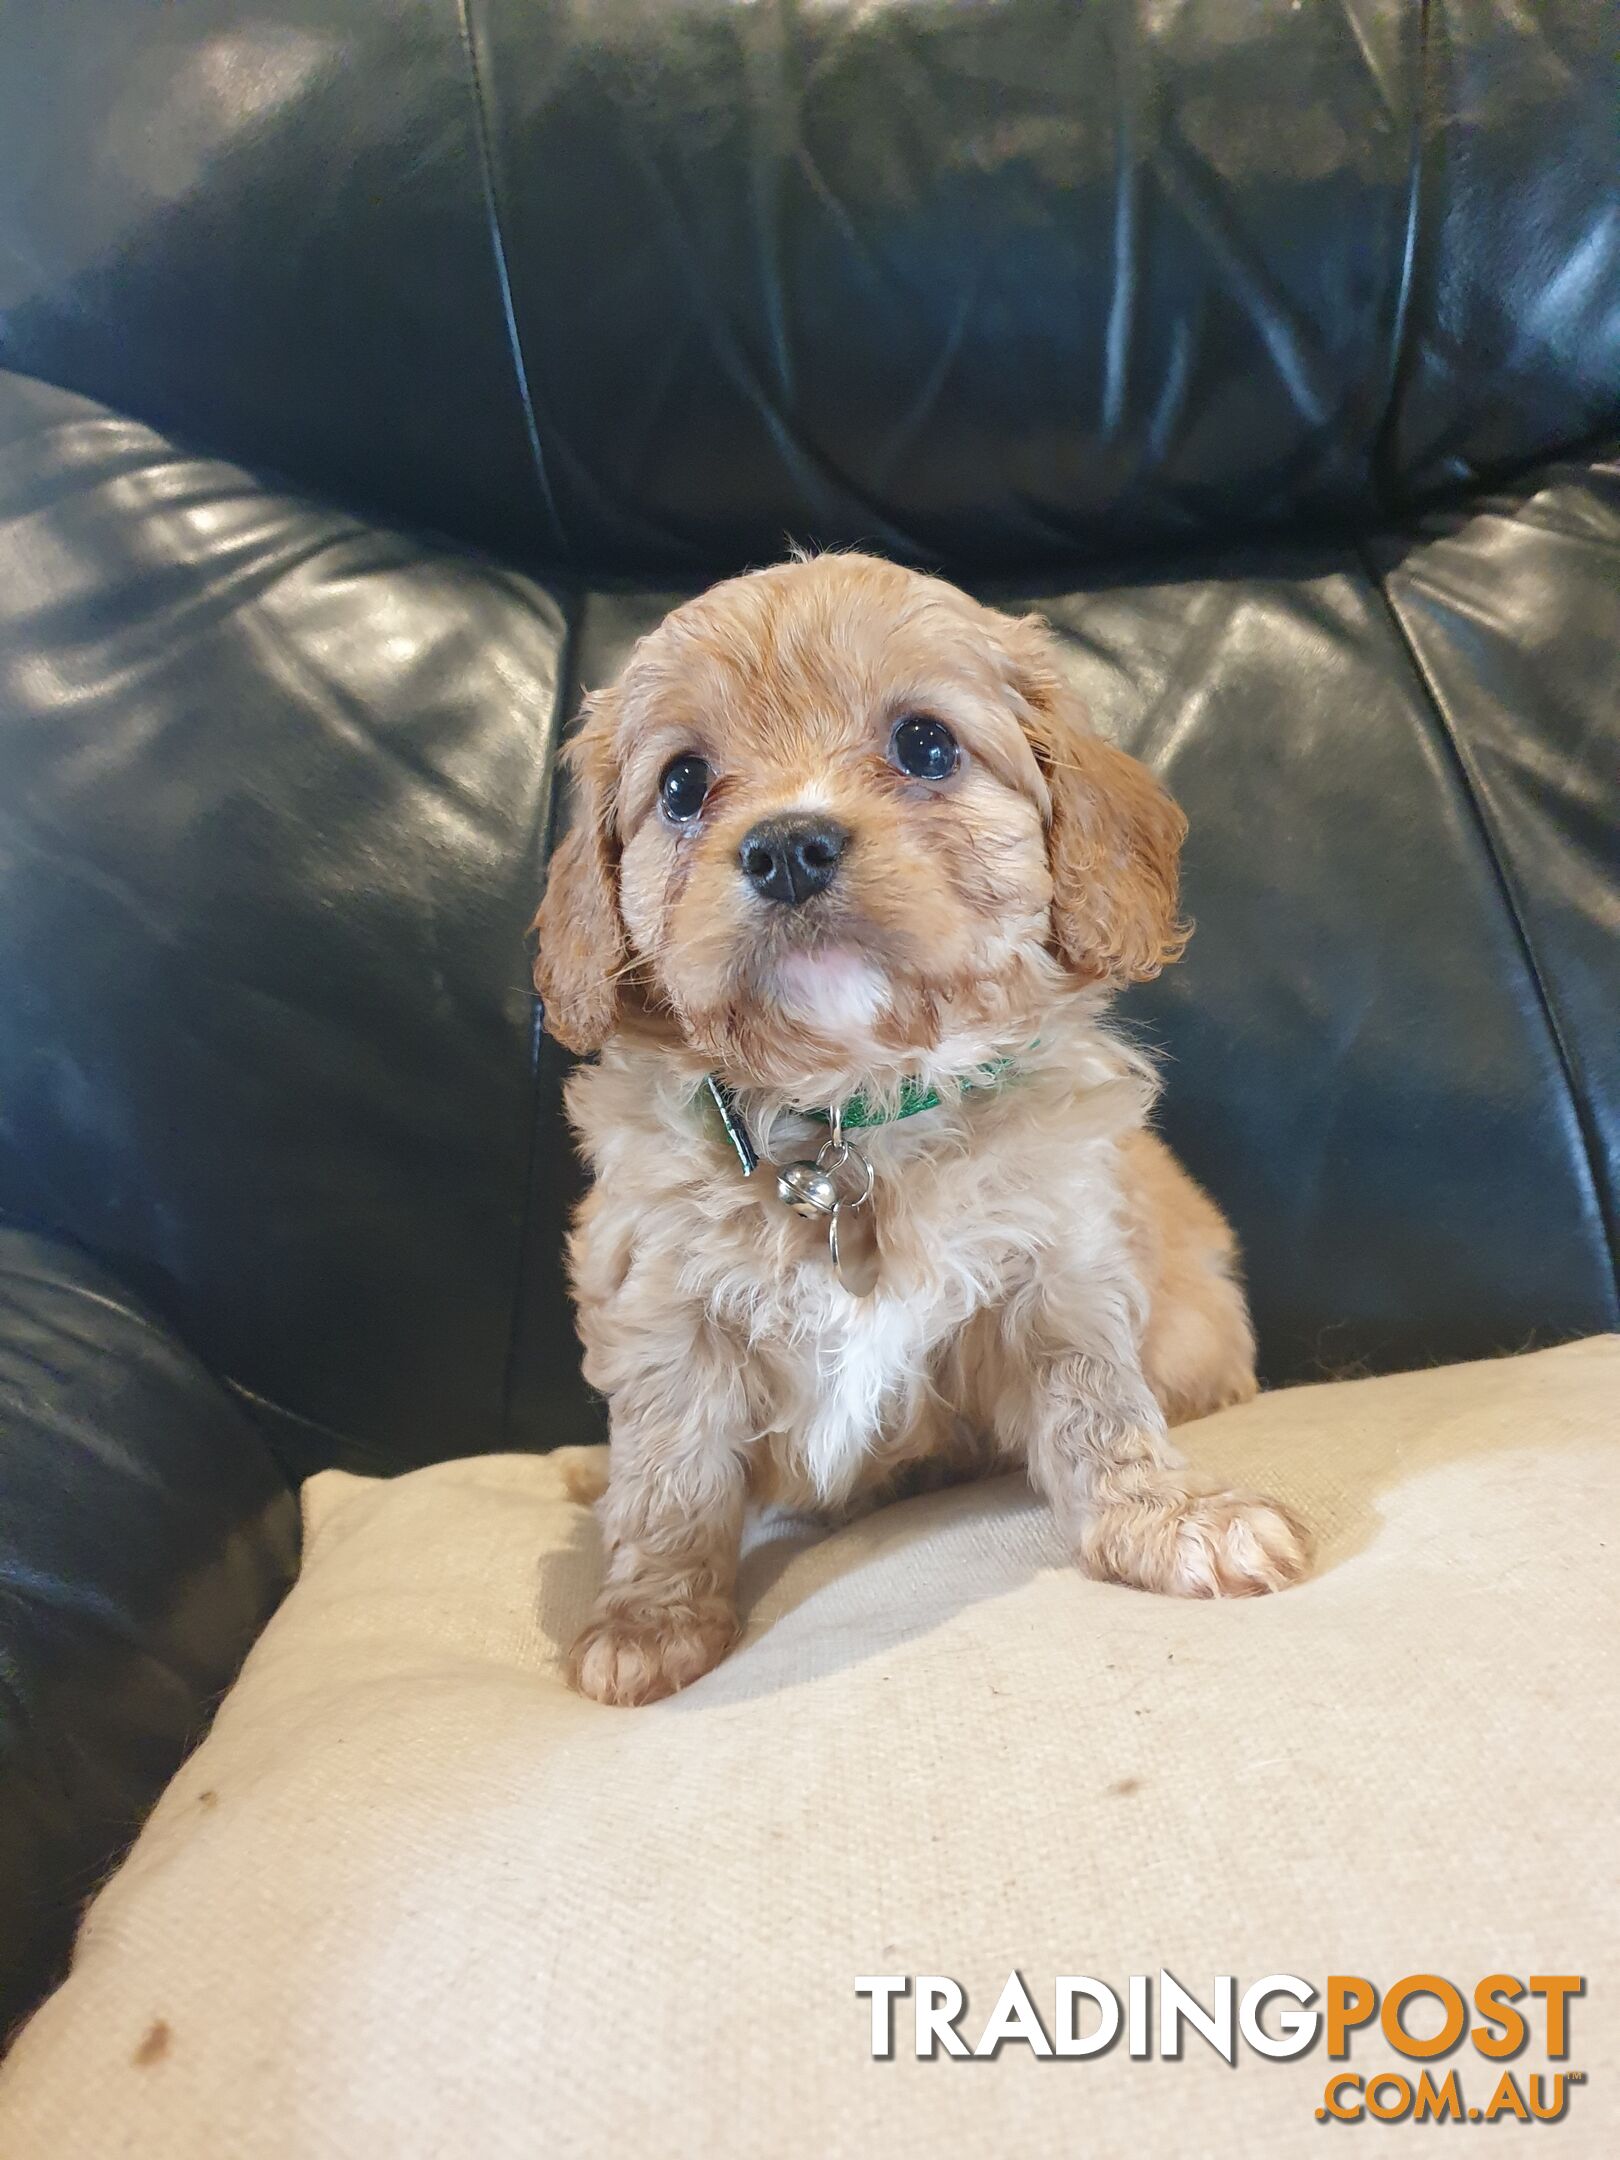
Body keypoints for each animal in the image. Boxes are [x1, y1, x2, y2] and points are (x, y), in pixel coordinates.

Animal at [540, 544, 1313, 1702]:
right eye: (680, 783)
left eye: (925, 743)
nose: (787, 848)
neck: (848, 1113)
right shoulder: (662, 1304)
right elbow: (669, 1468)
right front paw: (650, 1619)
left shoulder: (1060, 1264)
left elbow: (1098, 1405)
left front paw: (1171, 1520)